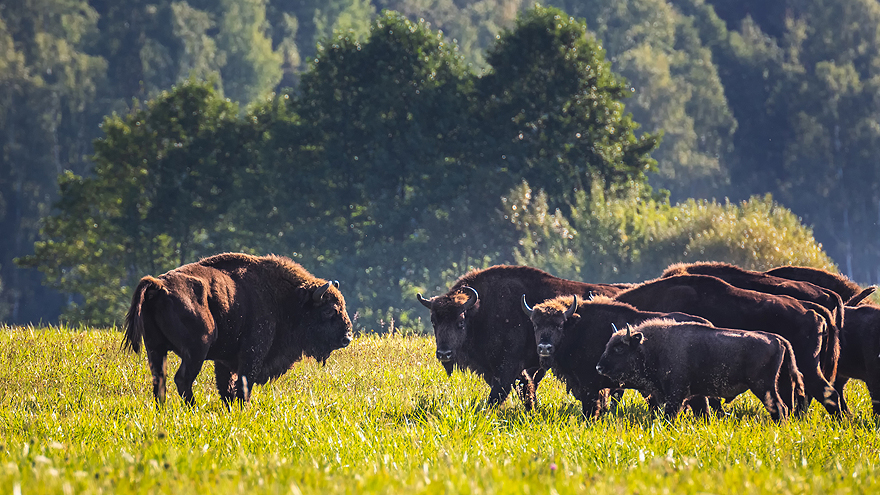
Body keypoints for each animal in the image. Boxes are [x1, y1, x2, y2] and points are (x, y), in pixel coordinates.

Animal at [121, 254, 354, 404]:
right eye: (330, 310)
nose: (347, 338)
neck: (285, 298)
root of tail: (158, 286)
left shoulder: (224, 361)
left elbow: (226, 387)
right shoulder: (252, 353)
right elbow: (243, 384)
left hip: (155, 348)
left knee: (159, 379)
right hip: (197, 349)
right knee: (182, 379)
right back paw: (193, 409)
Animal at [416, 268, 624, 410]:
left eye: (460, 322)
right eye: (434, 321)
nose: (444, 353)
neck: (481, 311)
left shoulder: (508, 366)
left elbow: (500, 394)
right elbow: (525, 388)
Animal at [524, 294, 708, 418]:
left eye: (559, 325)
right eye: (536, 324)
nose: (545, 348)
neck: (577, 328)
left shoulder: (589, 385)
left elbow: (591, 409)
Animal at [592, 320, 804, 420]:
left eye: (619, 348)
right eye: (608, 344)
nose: (599, 367)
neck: (652, 347)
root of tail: (778, 338)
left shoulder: (676, 395)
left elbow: (670, 416)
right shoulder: (696, 395)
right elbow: (704, 412)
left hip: (763, 387)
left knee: (780, 408)